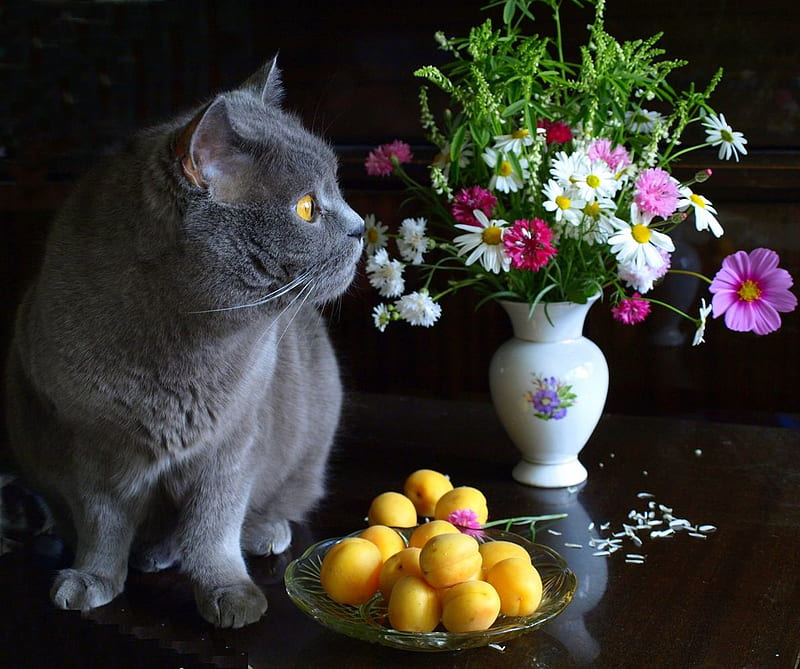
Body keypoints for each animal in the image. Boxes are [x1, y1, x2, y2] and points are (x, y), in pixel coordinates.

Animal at [3, 57, 364, 628]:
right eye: (307, 208)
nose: (360, 228)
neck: (184, 347)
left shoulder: (234, 441)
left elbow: (215, 525)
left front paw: (230, 593)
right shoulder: (89, 443)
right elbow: (102, 524)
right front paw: (92, 579)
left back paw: (250, 534)